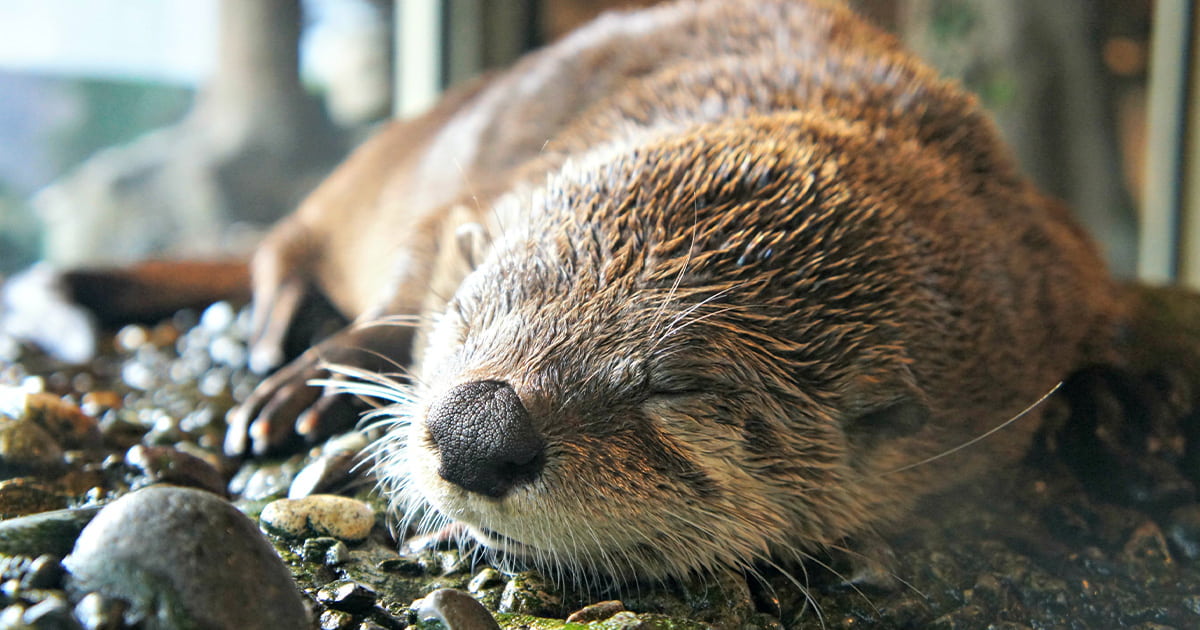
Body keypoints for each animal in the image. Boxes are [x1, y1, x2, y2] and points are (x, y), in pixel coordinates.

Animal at [220, 1, 1128, 580]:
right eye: (475, 309)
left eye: (678, 387)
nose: (478, 431)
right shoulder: (468, 203)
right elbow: (411, 271)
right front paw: (316, 382)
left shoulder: (1047, 269)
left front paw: (1106, 418)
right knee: (283, 239)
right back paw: (276, 338)